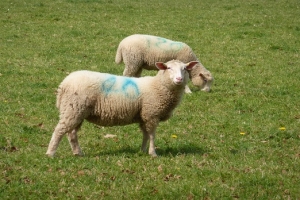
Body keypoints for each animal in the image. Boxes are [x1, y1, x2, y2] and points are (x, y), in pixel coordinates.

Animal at [45, 60, 198, 157]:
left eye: (185, 69)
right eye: (168, 68)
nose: (179, 79)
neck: (159, 85)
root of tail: (64, 84)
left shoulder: (143, 115)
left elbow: (145, 134)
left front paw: (142, 151)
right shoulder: (151, 114)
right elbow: (152, 135)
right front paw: (153, 153)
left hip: (77, 111)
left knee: (71, 133)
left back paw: (78, 153)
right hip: (74, 108)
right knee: (59, 131)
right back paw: (50, 153)